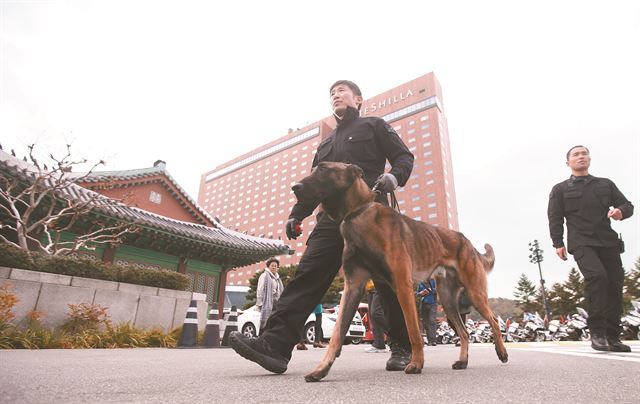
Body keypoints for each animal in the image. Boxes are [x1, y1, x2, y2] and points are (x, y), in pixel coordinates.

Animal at [292, 162, 510, 382]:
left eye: (323, 169)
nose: (295, 187)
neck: (358, 213)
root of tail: (467, 242)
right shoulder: (353, 287)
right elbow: (337, 333)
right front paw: (321, 368)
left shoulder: (402, 285)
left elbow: (413, 331)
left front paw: (416, 363)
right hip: (447, 301)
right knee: (464, 332)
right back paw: (463, 361)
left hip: (474, 293)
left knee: (492, 320)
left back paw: (502, 352)